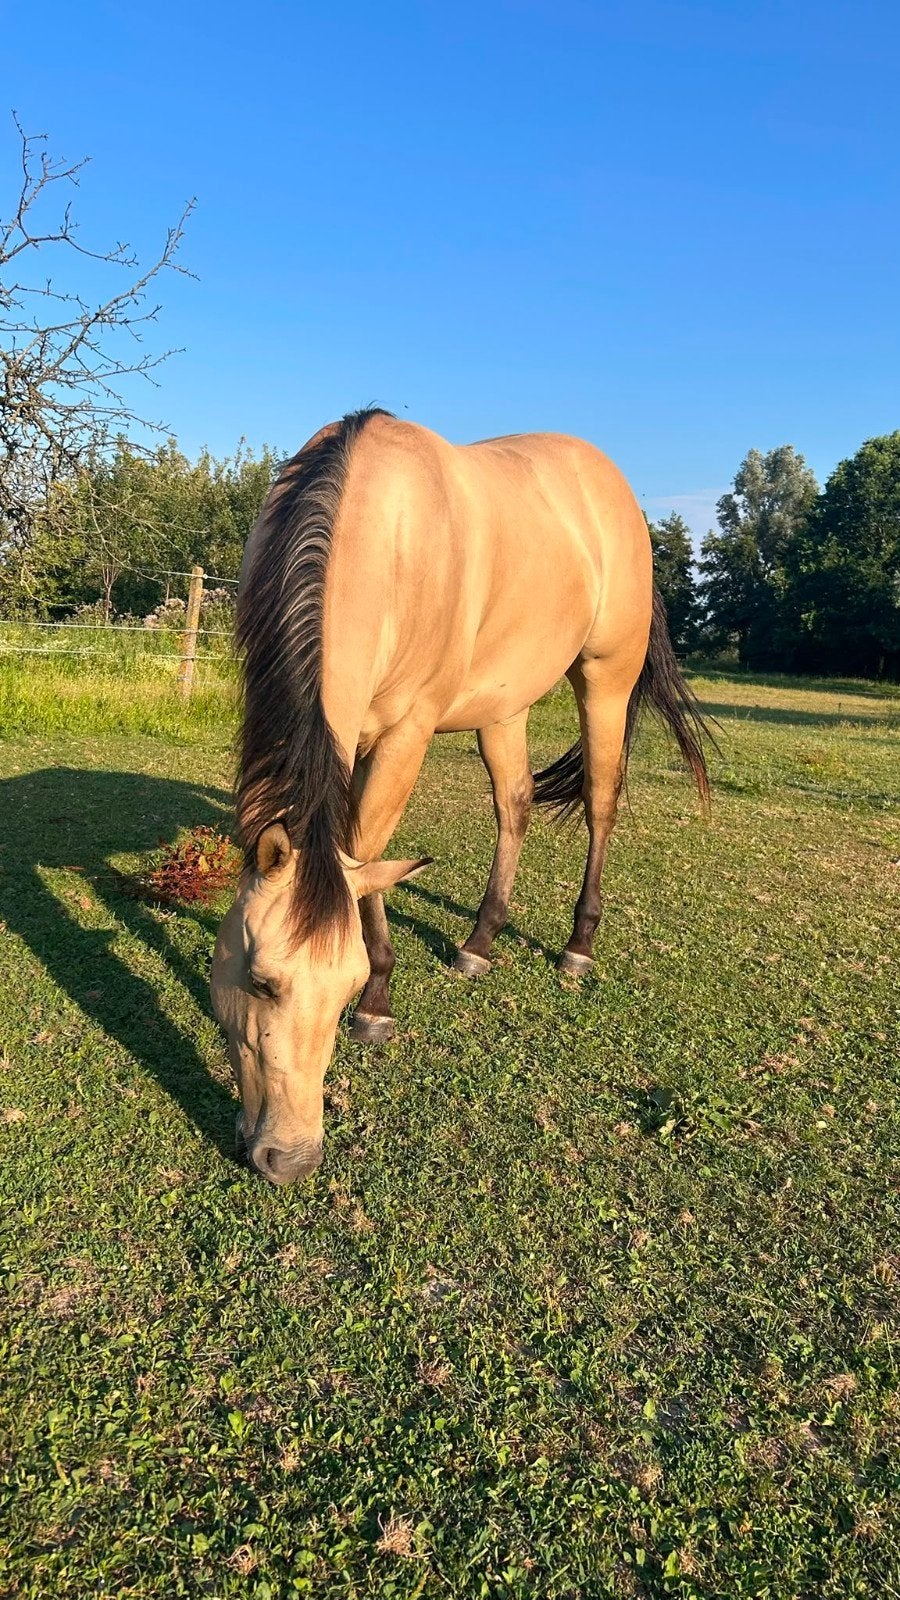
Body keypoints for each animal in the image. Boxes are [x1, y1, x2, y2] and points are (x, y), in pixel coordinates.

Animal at [211, 408, 709, 1186]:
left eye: (345, 985)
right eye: (260, 983)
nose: (290, 1159)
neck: (373, 526)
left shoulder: (406, 733)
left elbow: (367, 851)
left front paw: (380, 1002)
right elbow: (363, 856)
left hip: (606, 679)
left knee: (601, 803)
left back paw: (577, 946)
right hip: (504, 708)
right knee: (515, 806)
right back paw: (479, 942)